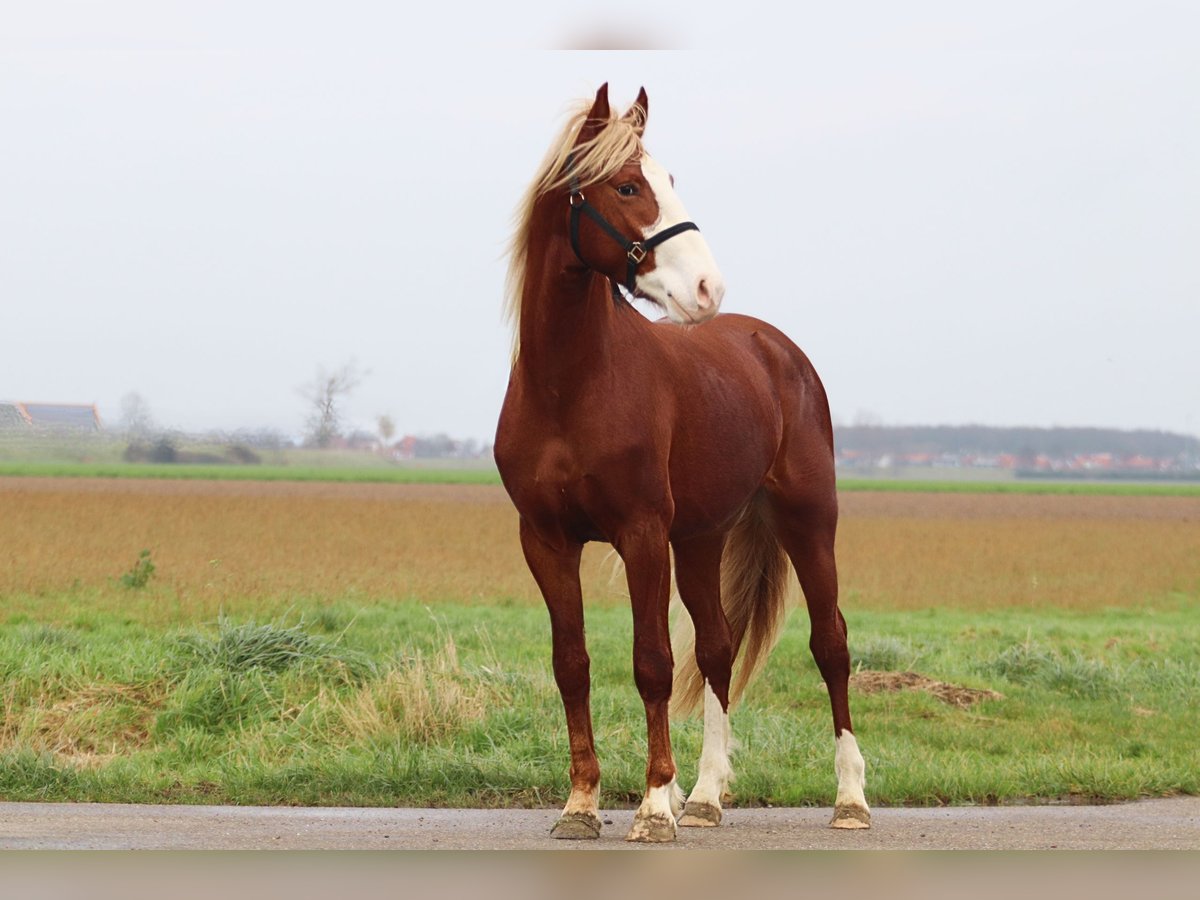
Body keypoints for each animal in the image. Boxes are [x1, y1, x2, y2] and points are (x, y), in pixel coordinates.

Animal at [496, 84, 873, 844]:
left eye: (669, 179)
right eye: (627, 185)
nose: (707, 288)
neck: (569, 387)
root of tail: (774, 347)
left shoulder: (641, 535)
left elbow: (651, 664)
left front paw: (651, 806)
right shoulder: (546, 541)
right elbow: (572, 665)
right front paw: (582, 805)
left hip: (808, 522)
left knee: (832, 645)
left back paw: (849, 800)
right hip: (701, 538)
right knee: (719, 648)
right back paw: (704, 797)